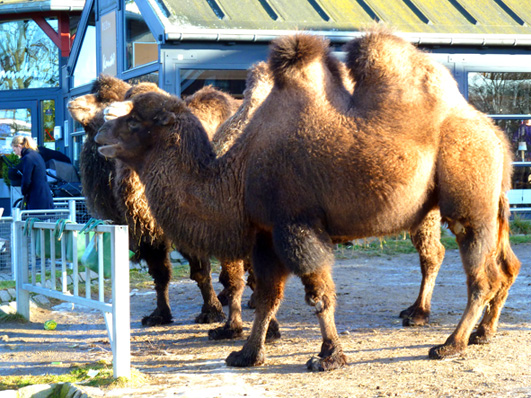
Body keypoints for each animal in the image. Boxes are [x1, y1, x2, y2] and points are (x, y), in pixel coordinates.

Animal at [93, 30, 520, 370]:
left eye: (135, 121)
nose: (99, 135)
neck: (237, 173)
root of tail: (495, 134)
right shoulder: (266, 235)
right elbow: (268, 296)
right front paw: (247, 354)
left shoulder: (296, 226)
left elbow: (318, 295)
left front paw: (329, 356)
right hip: (488, 202)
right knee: (503, 267)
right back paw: (482, 333)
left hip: (469, 203)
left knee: (480, 274)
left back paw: (450, 344)